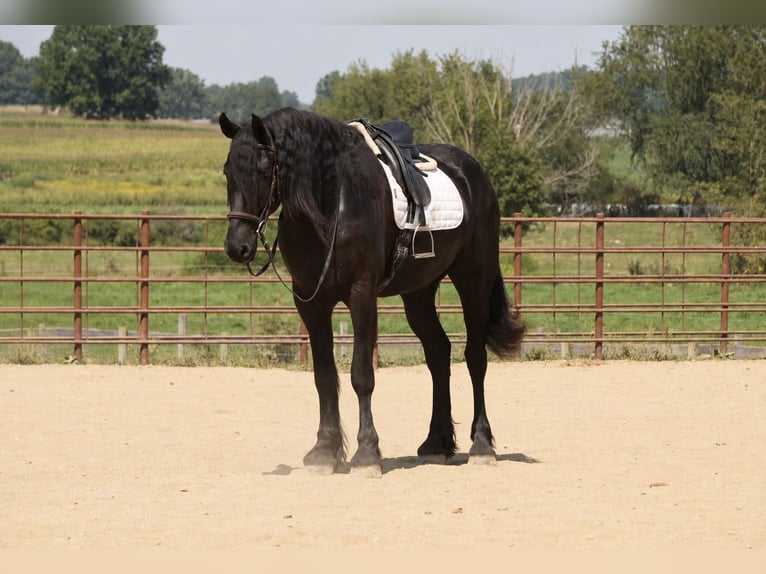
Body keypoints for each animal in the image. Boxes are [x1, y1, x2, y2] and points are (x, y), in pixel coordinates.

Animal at [219, 108, 526, 476]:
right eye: (227, 172)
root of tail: (473, 173)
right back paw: (436, 443)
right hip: (419, 293)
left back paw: (481, 446)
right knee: (438, 353)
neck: (332, 203)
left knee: (475, 358)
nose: (237, 246)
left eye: (264, 170)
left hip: (473, 281)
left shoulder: (361, 295)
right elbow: (324, 376)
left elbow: (361, 374)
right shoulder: (311, 302)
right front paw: (325, 451)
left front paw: (366, 453)